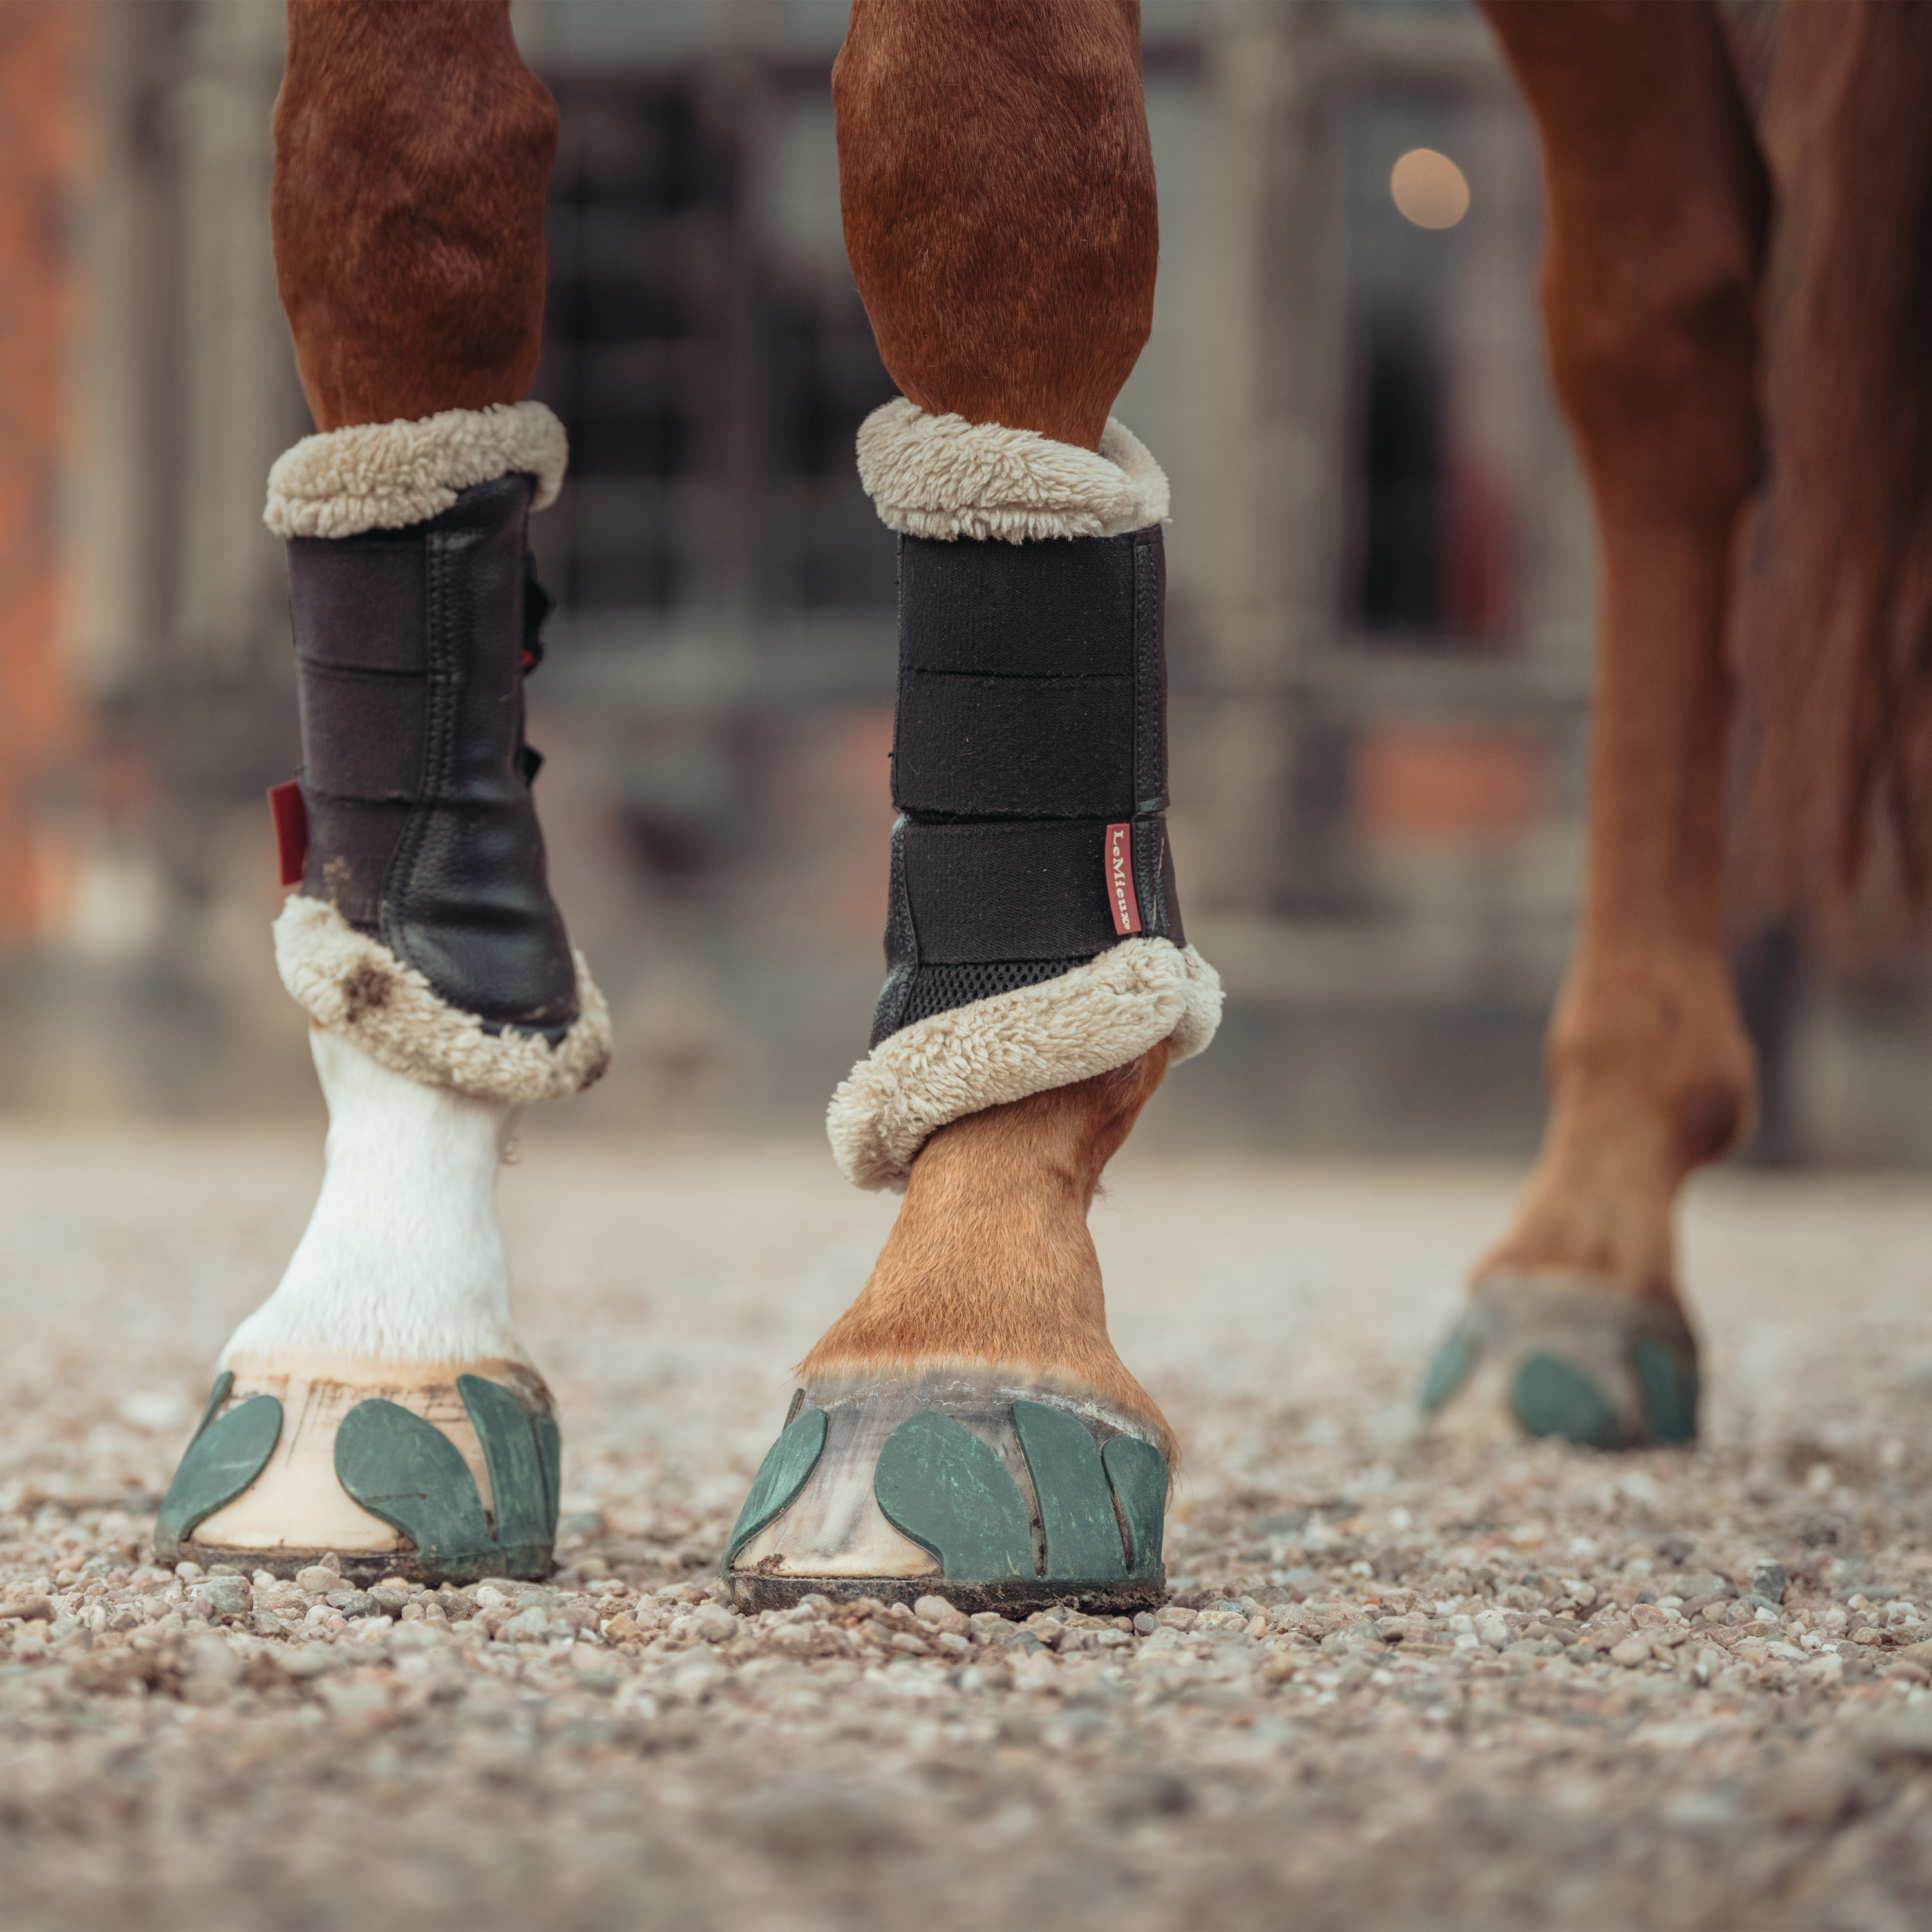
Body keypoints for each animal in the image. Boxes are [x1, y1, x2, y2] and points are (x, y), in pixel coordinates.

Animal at [151, 0, 1932, 1614]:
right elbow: (396, 202)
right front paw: (376, 1324)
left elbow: (979, 172)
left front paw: (960, 1333)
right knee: (1657, 312)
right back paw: (1587, 1264)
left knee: (1663, 333)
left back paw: (1581, 1254)